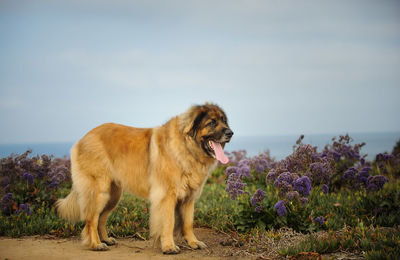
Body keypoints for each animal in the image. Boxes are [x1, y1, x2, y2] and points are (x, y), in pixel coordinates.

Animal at [54, 103, 233, 254]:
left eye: (224, 121)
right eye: (212, 122)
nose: (230, 133)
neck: (187, 146)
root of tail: (83, 138)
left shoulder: (188, 198)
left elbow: (188, 223)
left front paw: (193, 242)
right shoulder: (166, 196)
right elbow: (168, 222)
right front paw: (169, 246)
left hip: (113, 195)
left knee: (101, 218)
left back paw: (105, 239)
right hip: (100, 192)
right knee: (91, 219)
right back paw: (95, 244)